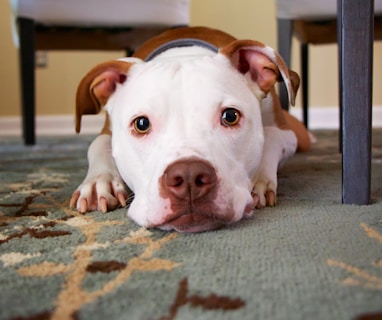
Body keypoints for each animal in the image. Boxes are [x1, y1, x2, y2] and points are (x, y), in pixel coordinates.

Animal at [69, 26, 310, 232]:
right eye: (141, 124)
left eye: (230, 116)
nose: (189, 176)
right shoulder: (106, 131)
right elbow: (98, 143)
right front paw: (99, 182)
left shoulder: (287, 134)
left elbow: (271, 135)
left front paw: (260, 179)